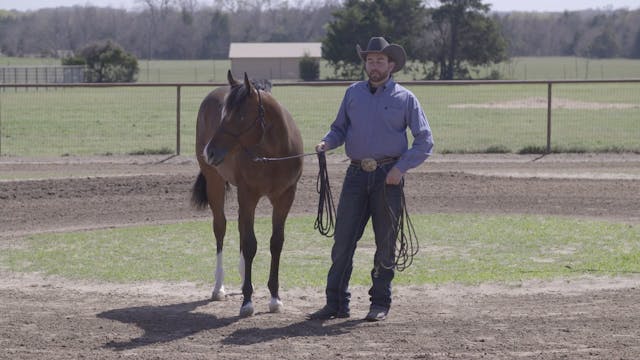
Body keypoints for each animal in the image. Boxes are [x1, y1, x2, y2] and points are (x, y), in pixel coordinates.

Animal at [191, 71, 304, 318]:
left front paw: (274, 298)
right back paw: (219, 288)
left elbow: (275, 242)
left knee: (242, 229)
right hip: (215, 183)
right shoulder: (248, 195)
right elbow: (251, 243)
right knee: (221, 228)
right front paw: (247, 301)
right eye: (223, 114)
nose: (209, 151)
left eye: (239, 116)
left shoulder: (285, 198)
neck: (273, 153)